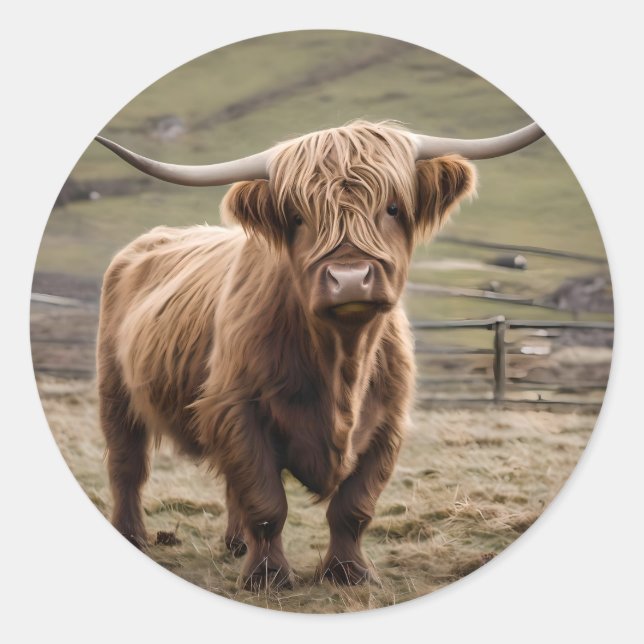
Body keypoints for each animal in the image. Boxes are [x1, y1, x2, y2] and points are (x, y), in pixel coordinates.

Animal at [95, 120, 544, 590]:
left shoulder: (387, 423)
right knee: (128, 465)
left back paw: (234, 544)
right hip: (115, 390)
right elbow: (266, 502)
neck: (342, 363)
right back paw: (133, 535)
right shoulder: (239, 411)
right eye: (297, 217)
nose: (349, 278)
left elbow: (353, 507)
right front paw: (268, 576)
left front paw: (349, 573)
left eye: (393, 207)